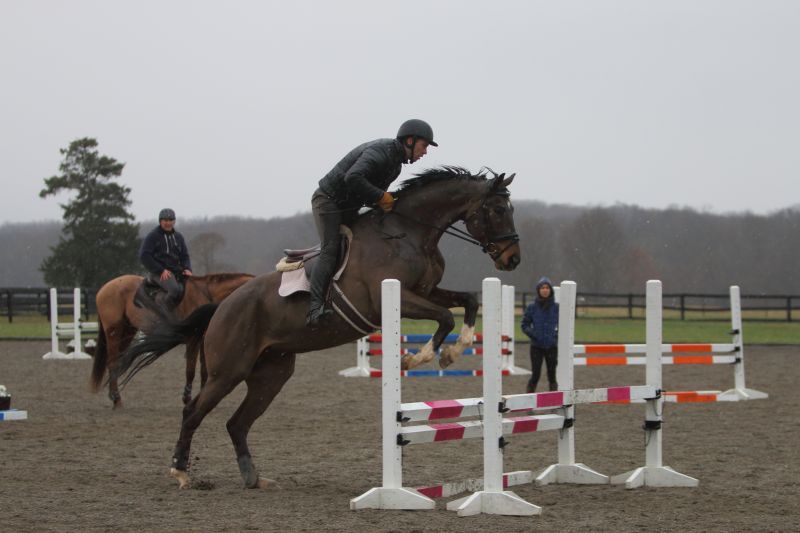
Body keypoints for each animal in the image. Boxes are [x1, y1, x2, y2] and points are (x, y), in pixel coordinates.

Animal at [89, 272, 254, 408]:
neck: (207, 295)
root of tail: (105, 287)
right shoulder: (193, 340)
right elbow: (190, 370)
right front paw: (187, 398)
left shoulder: (203, 340)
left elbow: (204, 371)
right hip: (114, 332)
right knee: (112, 362)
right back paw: (116, 398)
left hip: (127, 332)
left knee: (118, 361)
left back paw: (114, 396)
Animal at [114, 166, 521, 490]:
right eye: (497, 209)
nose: (512, 259)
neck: (408, 232)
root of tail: (222, 306)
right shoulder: (395, 299)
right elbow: (445, 317)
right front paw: (417, 358)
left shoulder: (426, 291)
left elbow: (467, 302)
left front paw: (455, 348)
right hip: (227, 371)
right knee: (193, 412)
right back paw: (181, 471)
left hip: (271, 373)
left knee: (236, 424)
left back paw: (253, 476)